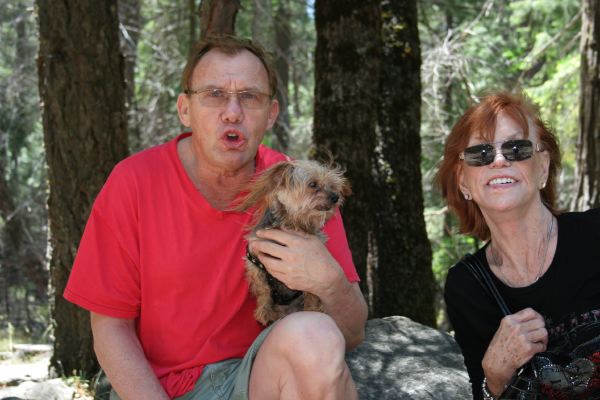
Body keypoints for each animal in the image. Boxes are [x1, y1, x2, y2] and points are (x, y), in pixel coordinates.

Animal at [234, 159, 351, 326]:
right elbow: (263, 289)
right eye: (313, 184)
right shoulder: (254, 261)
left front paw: (313, 308)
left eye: (333, 185)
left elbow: (313, 292)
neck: (293, 224)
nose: (336, 197)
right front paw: (264, 311)